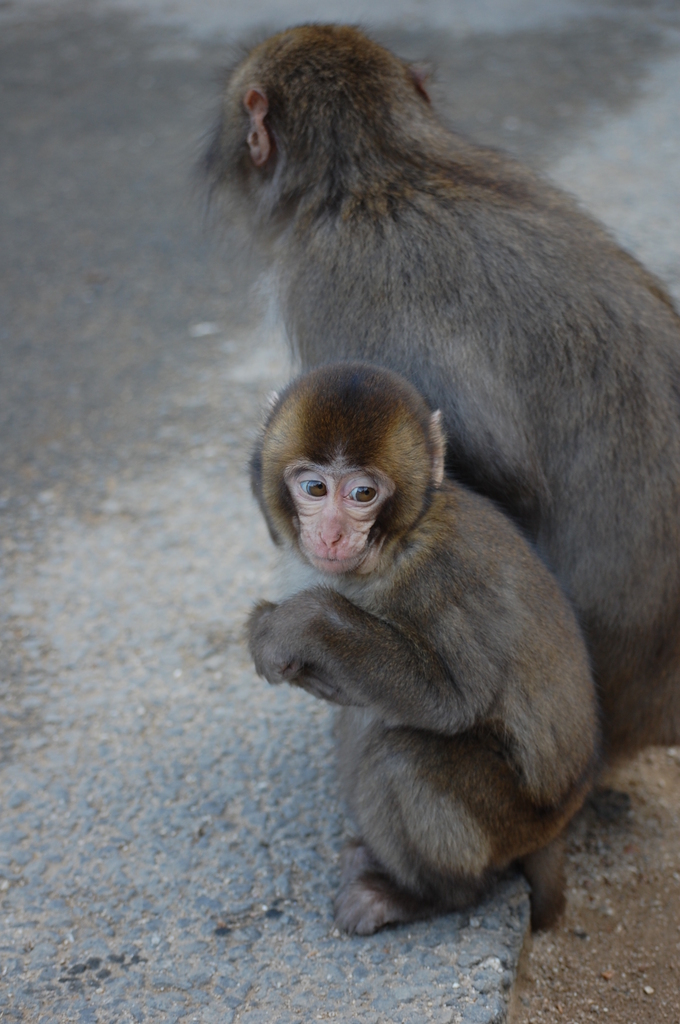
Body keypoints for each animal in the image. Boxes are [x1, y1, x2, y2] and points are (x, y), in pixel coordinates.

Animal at [246, 362, 598, 937]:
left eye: (363, 494)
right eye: (315, 487)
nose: (331, 534)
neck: (392, 547)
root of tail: (562, 815)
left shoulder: (441, 581)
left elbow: (452, 701)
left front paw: (299, 622)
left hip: (511, 823)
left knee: (400, 756)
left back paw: (427, 895)